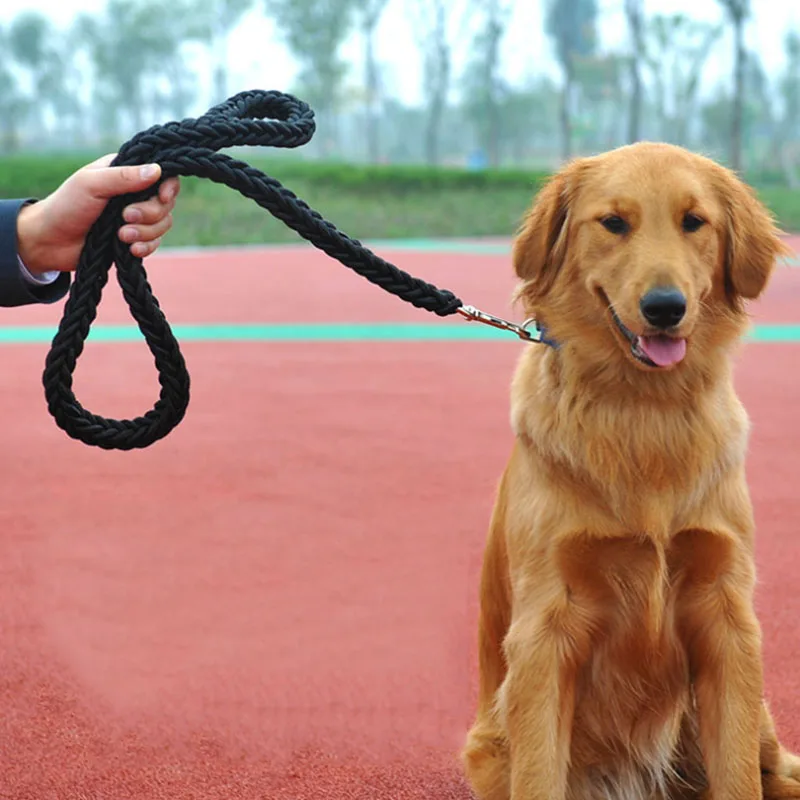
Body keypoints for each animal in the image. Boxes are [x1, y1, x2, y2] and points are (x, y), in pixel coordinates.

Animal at [460, 144, 800, 800]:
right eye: (614, 223)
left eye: (694, 221)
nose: (665, 308)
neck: (643, 412)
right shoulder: (544, 630)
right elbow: (540, 774)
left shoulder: (727, 615)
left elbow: (738, 776)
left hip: (759, 723)